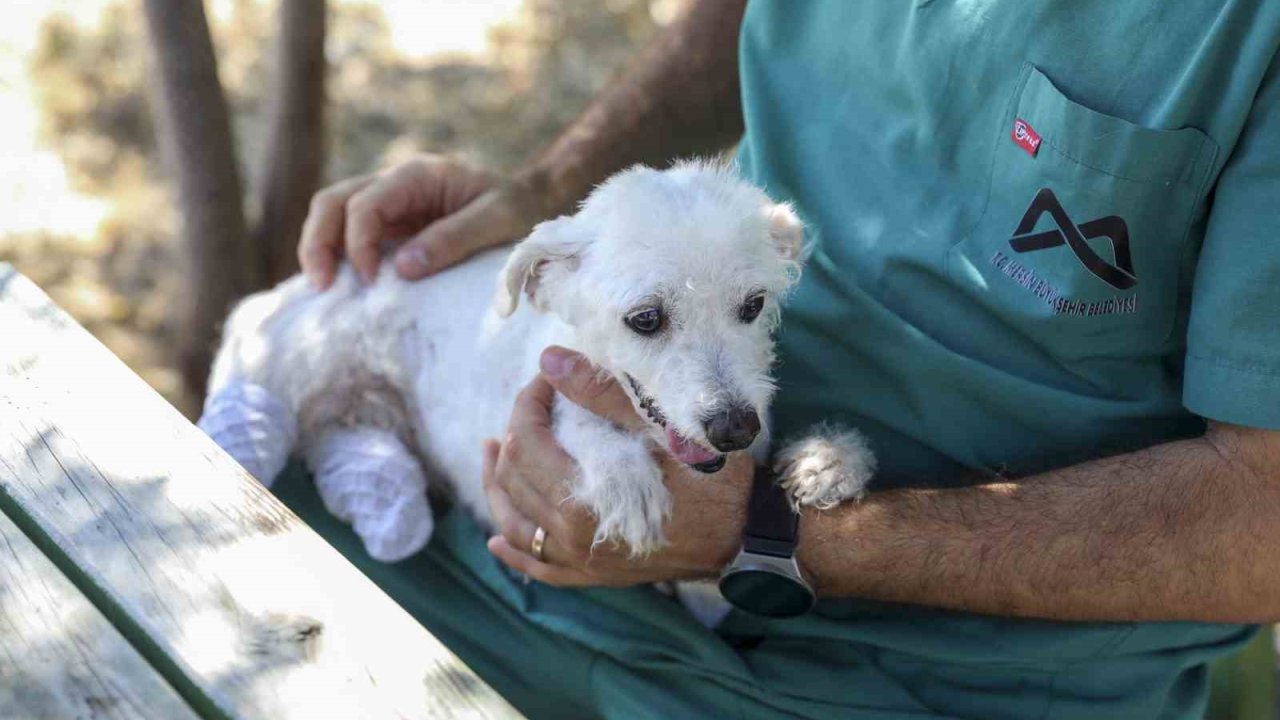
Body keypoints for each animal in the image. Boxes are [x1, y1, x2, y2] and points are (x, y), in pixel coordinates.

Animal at [199, 158, 875, 566]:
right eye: (646, 319)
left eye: (754, 305)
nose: (735, 427)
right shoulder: (545, 395)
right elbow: (579, 426)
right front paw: (625, 480)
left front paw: (826, 461)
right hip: (287, 363)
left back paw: (388, 504)